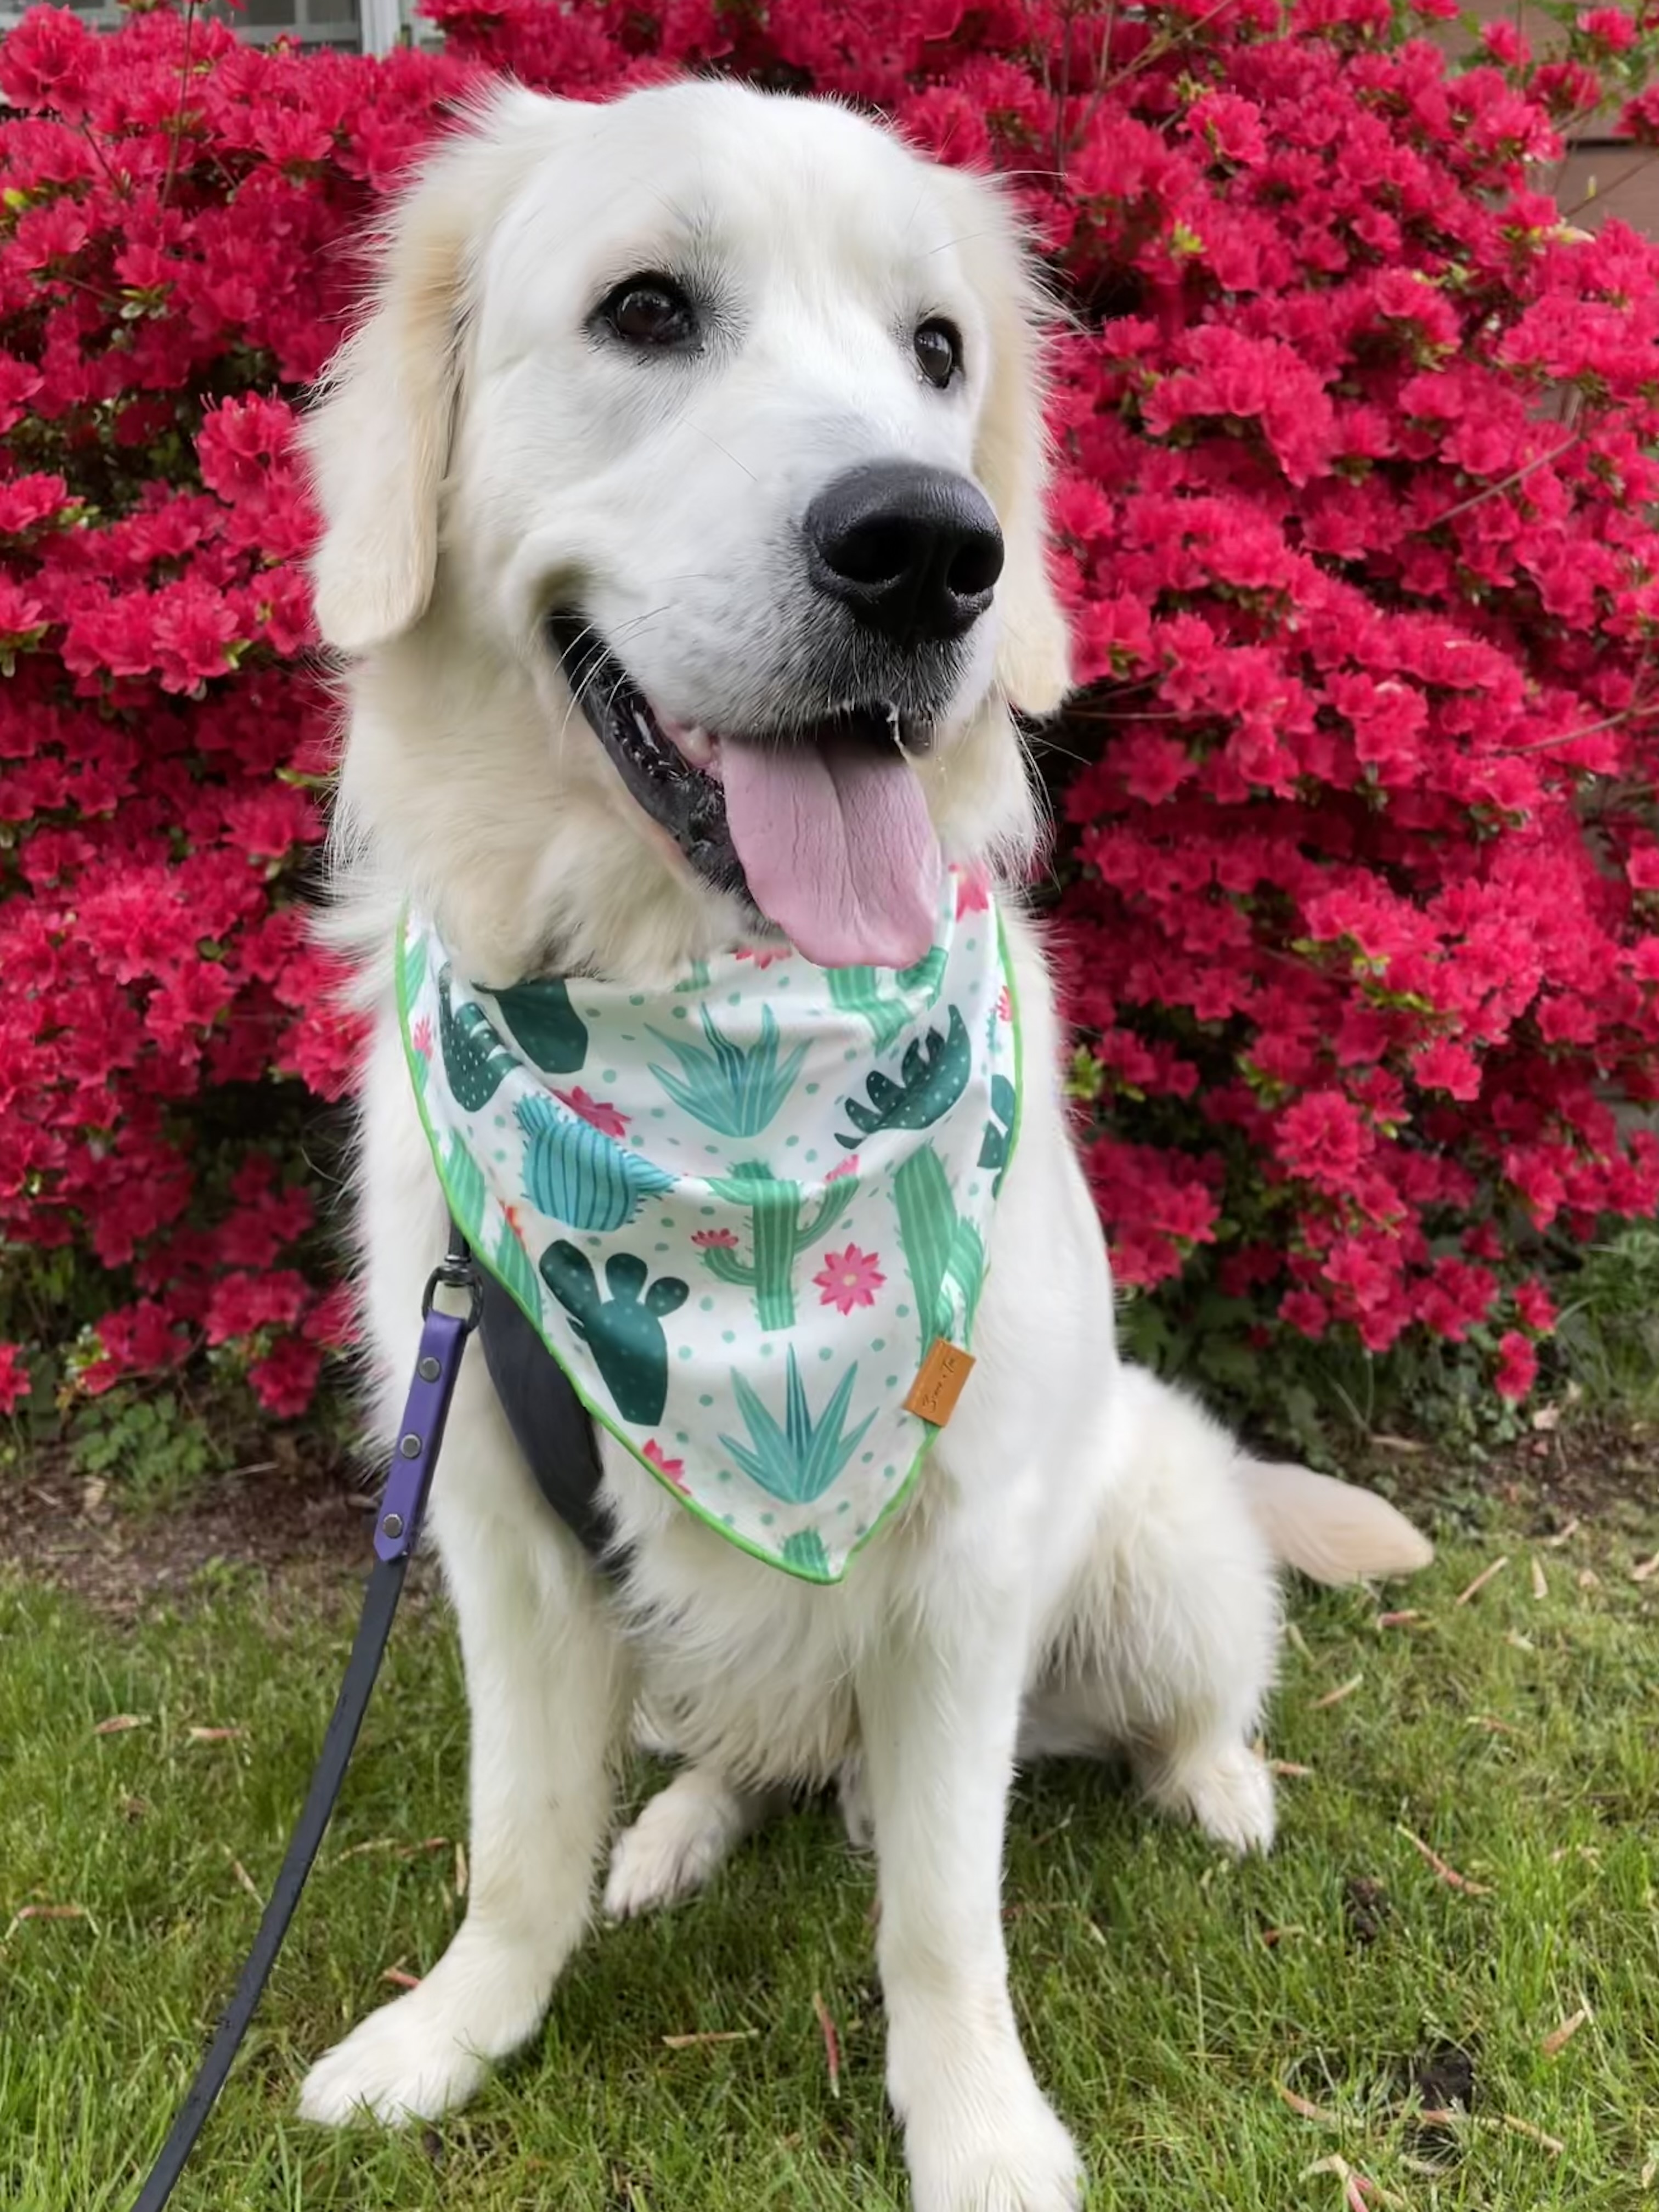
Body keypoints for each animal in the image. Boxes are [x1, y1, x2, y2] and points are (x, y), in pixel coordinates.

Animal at [299, 79, 1432, 2212]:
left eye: (938, 353)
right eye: (646, 309)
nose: (929, 550)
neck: (713, 1046)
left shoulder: (972, 1551)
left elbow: (940, 1912)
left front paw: (976, 2126)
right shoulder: (493, 1512)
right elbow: (515, 1840)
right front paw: (452, 2032)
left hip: (1150, 1521)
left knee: (1183, 1692)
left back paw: (1221, 1784)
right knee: (744, 1755)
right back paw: (677, 1833)